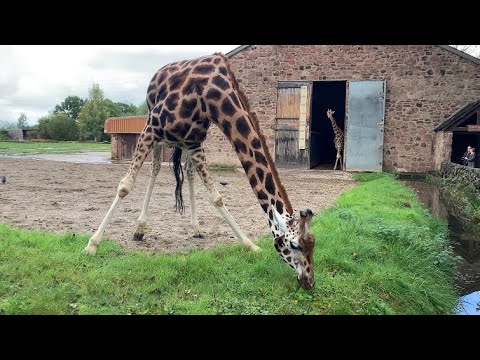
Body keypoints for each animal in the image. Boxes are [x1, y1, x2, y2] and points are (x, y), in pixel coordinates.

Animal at [84, 52, 316, 290]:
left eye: (313, 244)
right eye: (295, 245)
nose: (309, 281)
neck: (209, 97)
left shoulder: (194, 142)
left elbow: (216, 197)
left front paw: (250, 244)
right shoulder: (152, 129)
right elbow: (125, 186)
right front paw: (92, 244)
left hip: (184, 143)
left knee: (188, 172)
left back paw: (196, 229)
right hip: (155, 128)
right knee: (155, 168)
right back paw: (139, 229)